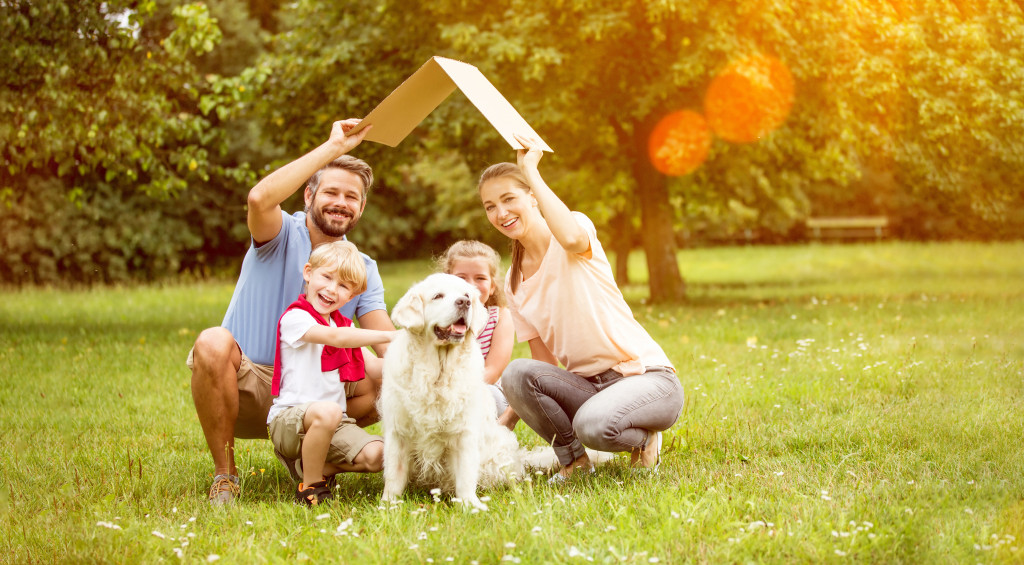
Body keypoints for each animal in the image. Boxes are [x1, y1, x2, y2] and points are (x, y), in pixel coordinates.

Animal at [380, 274, 524, 511]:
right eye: (438, 296)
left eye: (466, 295)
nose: (464, 303)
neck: (438, 371)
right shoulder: (398, 431)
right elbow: (393, 474)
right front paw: (388, 505)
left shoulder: (464, 432)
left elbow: (465, 474)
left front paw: (470, 505)